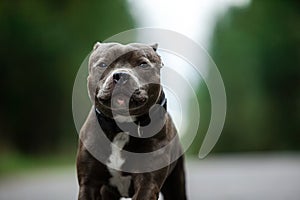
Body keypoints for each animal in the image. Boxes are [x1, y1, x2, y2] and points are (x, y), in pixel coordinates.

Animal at [76, 41, 186, 199]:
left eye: (143, 64)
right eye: (103, 64)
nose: (121, 75)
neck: (121, 127)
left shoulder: (148, 182)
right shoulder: (88, 183)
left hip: (176, 184)